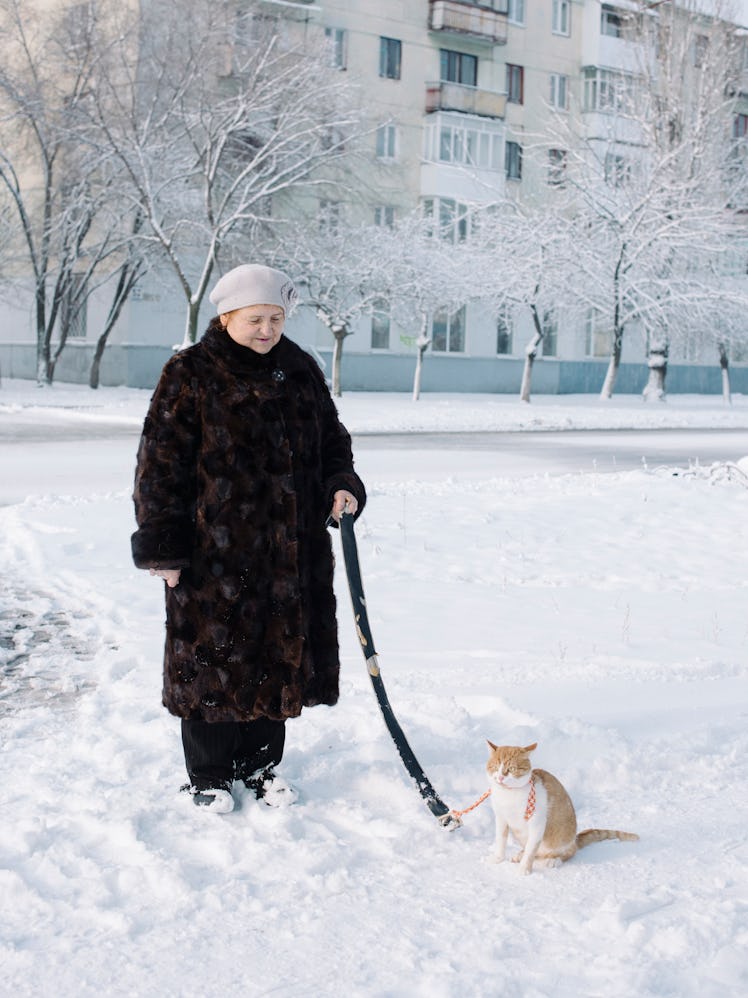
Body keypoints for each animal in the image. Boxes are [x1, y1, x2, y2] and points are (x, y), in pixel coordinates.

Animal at [488, 744, 640, 876]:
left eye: (511, 769)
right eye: (495, 767)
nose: (500, 777)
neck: (508, 794)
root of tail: (575, 839)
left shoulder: (537, 824)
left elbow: (531, 851)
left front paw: (524, 868)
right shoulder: (501, 819)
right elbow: (501, 840)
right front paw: (498, 858)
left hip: (561, 839)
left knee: (567, 852)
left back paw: (554, 859)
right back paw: (520, 854)